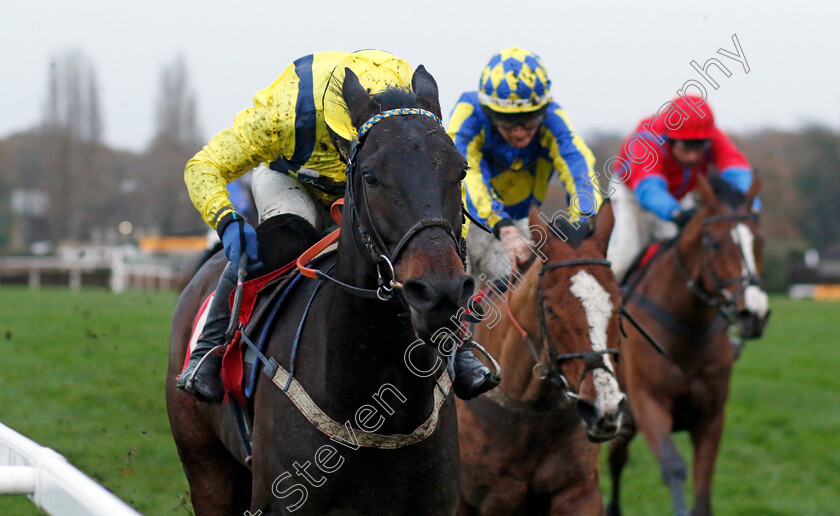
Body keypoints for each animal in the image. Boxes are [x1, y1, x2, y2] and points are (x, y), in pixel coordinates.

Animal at [167, 66, 476, 512]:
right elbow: (208, 162)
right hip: (207, 470)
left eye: (461, 171)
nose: (439, 291)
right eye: (370, 177)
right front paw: (237, 233)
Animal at [608, 174, 772, 516]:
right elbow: (673, 466)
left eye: (759, 241)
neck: (687, 329)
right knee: (615, 459)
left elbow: (704, 484)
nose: (754, 314)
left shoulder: (711, 416)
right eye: (713, 242)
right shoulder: (648, 402)